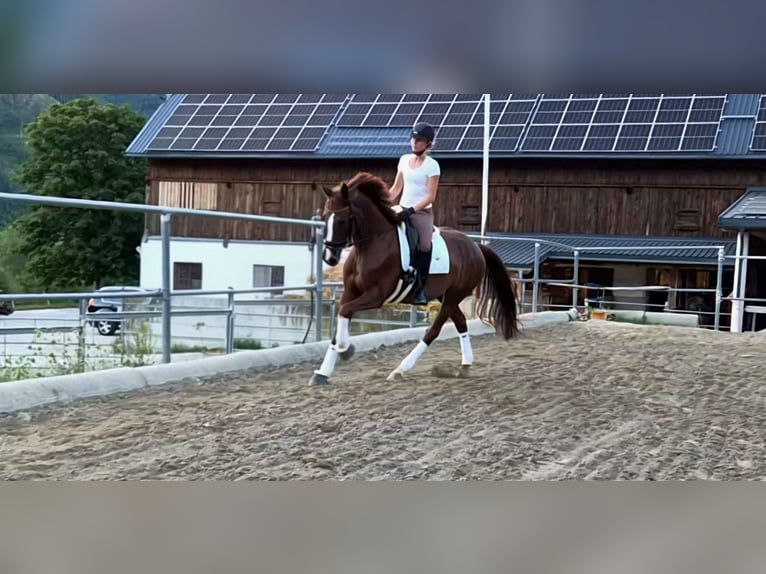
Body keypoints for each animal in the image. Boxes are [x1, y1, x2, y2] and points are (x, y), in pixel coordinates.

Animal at [309, 171, 520, 386]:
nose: (329, 257)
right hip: (444, 295)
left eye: (342, 220)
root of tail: (475, 246)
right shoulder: (351, 291)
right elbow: (341, 315)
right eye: (325, 218)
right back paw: (465, 366)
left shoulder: (376, 295)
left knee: (433, 331)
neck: (374, 242)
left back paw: (400, 369)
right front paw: (322, 373)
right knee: (460, 322)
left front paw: (346, 350)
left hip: (454, 295)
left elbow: (344, 310)